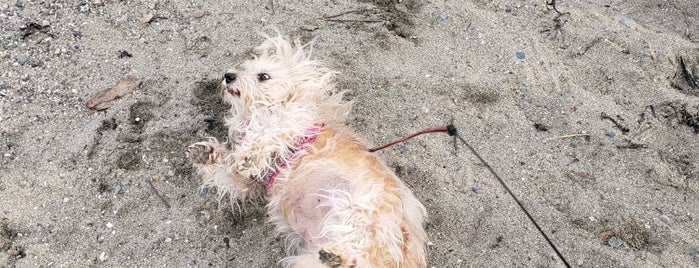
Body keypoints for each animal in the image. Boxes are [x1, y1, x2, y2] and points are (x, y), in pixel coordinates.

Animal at [187, 34, 426, 266]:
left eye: (263, 76)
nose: (228, 75)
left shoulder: (292, 120)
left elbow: (270, 131)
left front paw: (249, 154)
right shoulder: (250, 182)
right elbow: (229, 168)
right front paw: (205, 153)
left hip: (360, 212)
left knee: (361, 248)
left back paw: (338, 255)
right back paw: (333, 256)